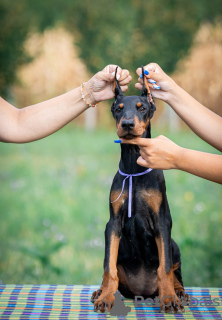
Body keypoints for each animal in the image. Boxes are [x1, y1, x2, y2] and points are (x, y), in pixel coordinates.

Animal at [91, 66, 188, 314]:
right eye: (118, 109)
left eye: (142, 108)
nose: (126, 124)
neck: (134, 167)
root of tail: (142, 292)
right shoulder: (113, 224)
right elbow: (108, 267)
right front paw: (105, 296)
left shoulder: (162, 221)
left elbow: (165, 267)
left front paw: (168, 298)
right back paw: (100, 290)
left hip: (174, 244)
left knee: (175, 270)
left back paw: (179, 292)